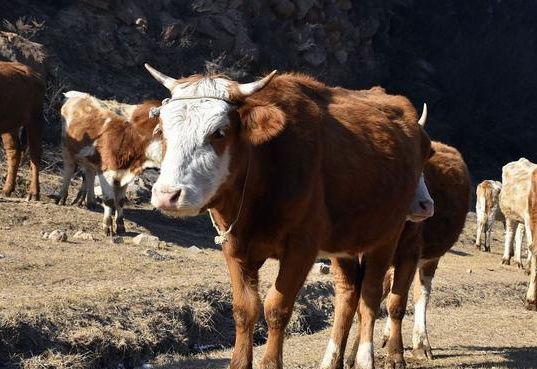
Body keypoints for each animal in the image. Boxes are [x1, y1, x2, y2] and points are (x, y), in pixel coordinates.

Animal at [0, 60, 43, 200]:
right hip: (10, 125)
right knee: (14, 151)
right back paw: (7, 189)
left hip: (35, 120)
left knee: (35, 154)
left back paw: (33, 193)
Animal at [57, 92, 161, 236]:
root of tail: (77, 94)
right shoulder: (107, 173)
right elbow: (109, 200)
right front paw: (107, 227)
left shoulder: (125, 176)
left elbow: (120, 201)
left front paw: (121, 226)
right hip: (67, 148)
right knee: (69, 170)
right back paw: (62, 197)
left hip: (90, 159)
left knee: (89, 173)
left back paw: (90, 201)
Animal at [144, 64, 434, 368]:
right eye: (162, 130)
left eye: (219, 132)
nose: (167, 195)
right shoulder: (233, 245)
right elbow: (244, 308)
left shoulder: (301, 247)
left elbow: (277, 307)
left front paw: (271, 362)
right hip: (345, 244)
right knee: (347, 295)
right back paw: (331, 360)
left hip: (387, 235)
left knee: (371, 295)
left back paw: (366, 358)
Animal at [338, 139, 472, 366]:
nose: (427, 205)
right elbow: (366, 304)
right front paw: (353, 355)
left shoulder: (410, 254)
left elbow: (397, 305)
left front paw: (395, 355)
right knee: (388, 290)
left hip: (430, 258)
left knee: (421, 294)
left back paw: (421, 344)